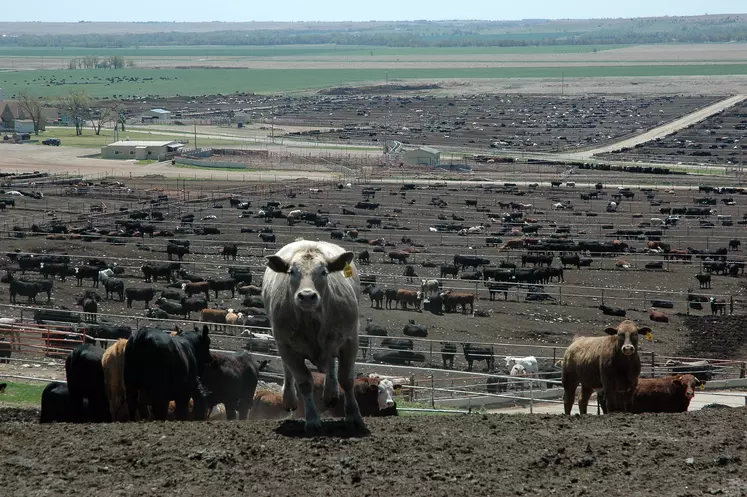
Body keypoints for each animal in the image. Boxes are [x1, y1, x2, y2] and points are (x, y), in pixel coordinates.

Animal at [262, 239, 362, 430]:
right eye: (292, 272)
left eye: (323, 272)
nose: (307, 296)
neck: (313, 322)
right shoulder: (286, 346)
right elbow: (304, 382)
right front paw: (313, 419)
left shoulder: (350, 340)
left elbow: (346, 379)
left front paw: (354, 416)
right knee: (287, 370)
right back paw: (289, 399)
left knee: (331, 362)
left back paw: (331, 393)